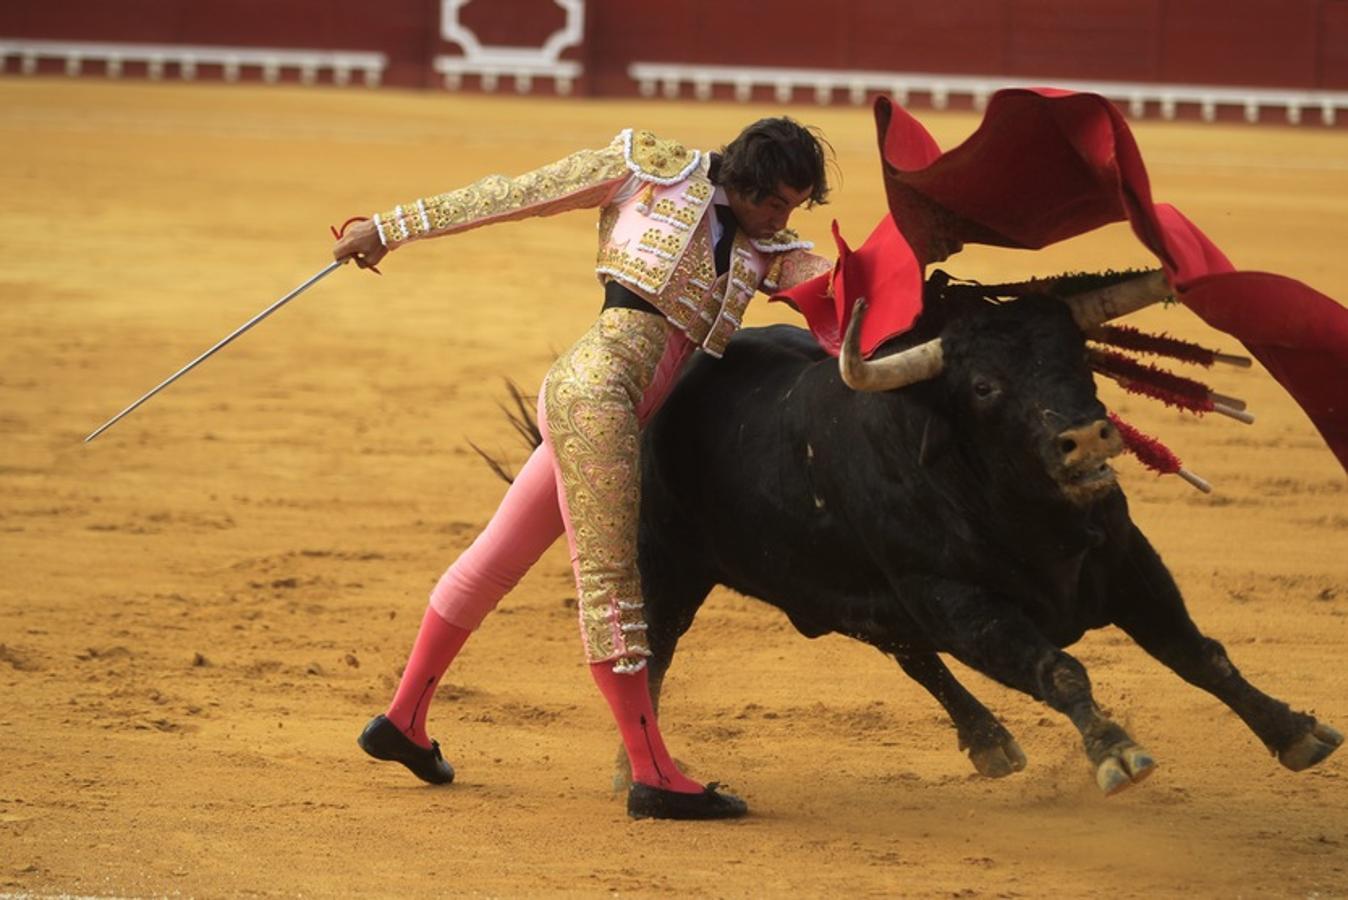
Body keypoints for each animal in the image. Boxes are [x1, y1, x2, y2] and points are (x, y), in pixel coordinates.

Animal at [633, 289, 1348, 792]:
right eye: (983, 386)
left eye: (1078, 358)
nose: (1086, 438)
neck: (1028, 514)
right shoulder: (955, 600)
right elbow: (1058, 669)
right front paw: (1117, 751)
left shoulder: (1126, 561)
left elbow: (1198, 654)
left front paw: (1294, 732)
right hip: (668, 569)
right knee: (656, 653)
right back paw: (643, 772)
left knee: (909, 654)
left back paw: (987, 740)